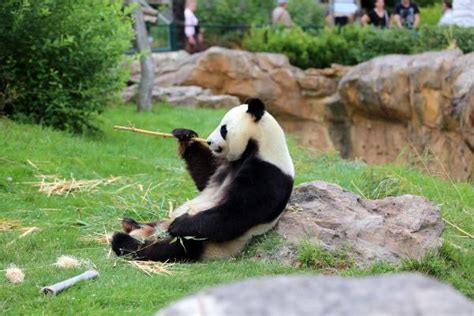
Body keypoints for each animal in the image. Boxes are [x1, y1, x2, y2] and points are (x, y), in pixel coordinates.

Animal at [111, 98, 294, 262]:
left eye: (223, 129)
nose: (209, 141)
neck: (260, 146)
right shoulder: (227, 163)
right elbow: (205, 174)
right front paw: (185, 136)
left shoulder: (268, 174)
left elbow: (237, 212)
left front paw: (180, 223)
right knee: (154, 226)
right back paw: (131, 224)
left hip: (207, 244)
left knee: (172, 248)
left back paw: (125, 241)